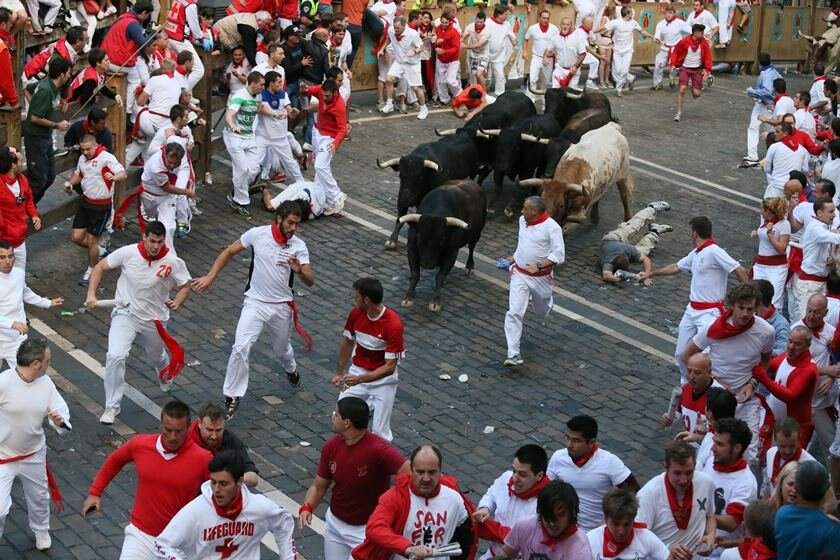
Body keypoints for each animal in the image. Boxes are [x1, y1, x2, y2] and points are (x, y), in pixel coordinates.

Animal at [398, 180, 486, 312]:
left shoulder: (452, 253)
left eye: (442, 239)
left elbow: (440, 276)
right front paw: (408, 297)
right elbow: (415, 274)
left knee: (471, 248)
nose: (427, 264)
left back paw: (469, 266)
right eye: (419, 236)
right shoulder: (412, 249)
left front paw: (435, 302)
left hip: (476, 234)